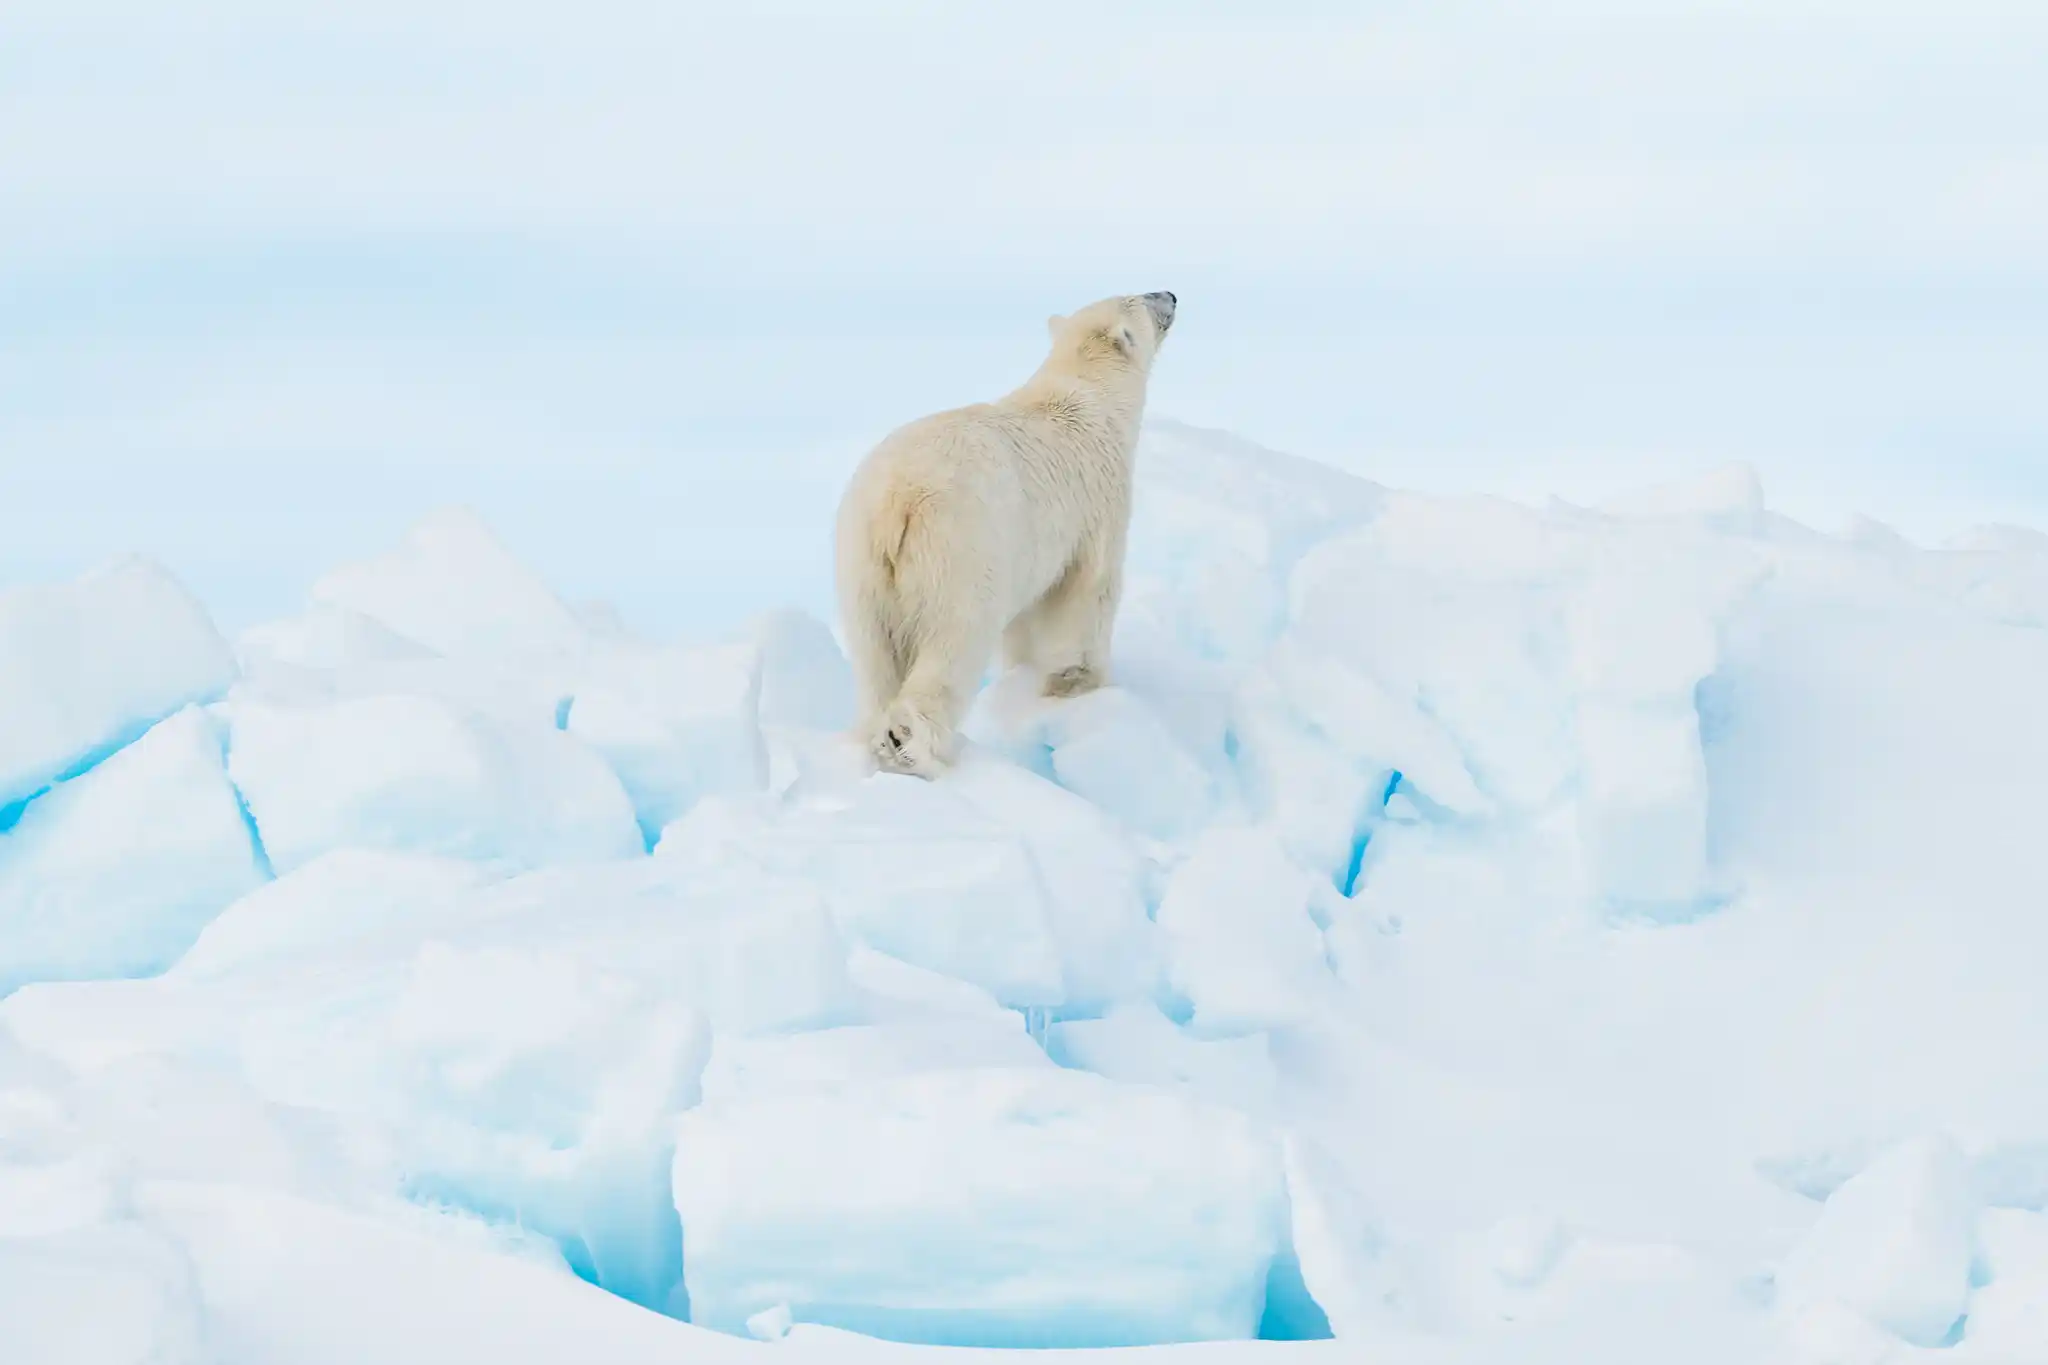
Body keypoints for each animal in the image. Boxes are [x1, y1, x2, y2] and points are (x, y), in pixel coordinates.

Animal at [834, 290, 1178, 778]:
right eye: (1141, 298)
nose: (1171, 294)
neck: (1086, 396)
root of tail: (897, 500)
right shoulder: (1096, 506)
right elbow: (1086, 596)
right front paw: (1078, 685)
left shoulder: (1029, 542)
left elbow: (1026, 619)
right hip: (958, 554)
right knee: (952, 644)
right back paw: (916, 746)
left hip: (861, 564)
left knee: (874, 659)